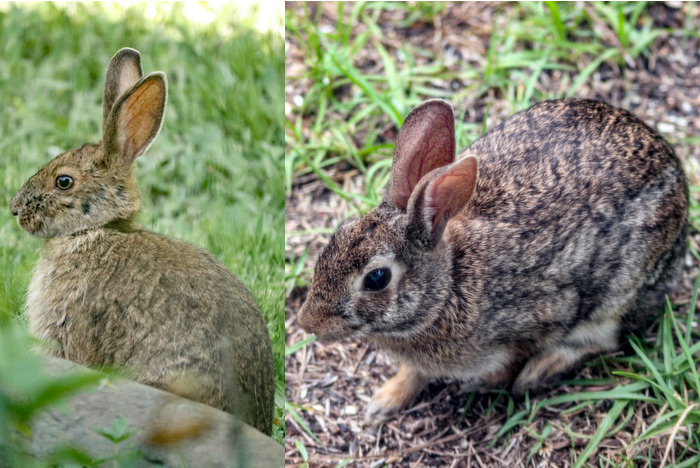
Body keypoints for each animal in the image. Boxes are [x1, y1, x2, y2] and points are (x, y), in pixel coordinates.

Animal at [296, 98, 688, 424]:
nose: (308, 323)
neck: (448, 286)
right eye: (336, 237)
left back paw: (540, 370)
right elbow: (414, 373)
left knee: (605, 340)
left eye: (377, 278)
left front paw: (483, 383)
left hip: (616, 296)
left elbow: (511, 361)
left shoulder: (537, 319)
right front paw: (384, 399)